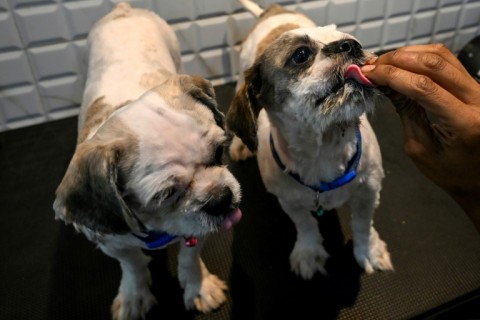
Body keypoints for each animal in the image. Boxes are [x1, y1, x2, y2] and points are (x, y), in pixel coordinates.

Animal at [53, 3, 240, 320]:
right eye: (167, 194)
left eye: (219, 152)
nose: (220, 198)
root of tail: (124, 9)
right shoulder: (112, 242)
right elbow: (133, 265)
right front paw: (134, 295)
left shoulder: (197, 230)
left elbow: (189, 258)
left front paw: (198, 288)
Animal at [229, 0, 394, 278]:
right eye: (301, 55)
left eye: (351, 39)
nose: (350, 45)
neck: (324, 148)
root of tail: (271, 11)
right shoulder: (289, 200)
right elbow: (305, 225)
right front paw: (309, 252)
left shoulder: (369, 190)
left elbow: (362, 225)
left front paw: (369, 250)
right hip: (241, 72)